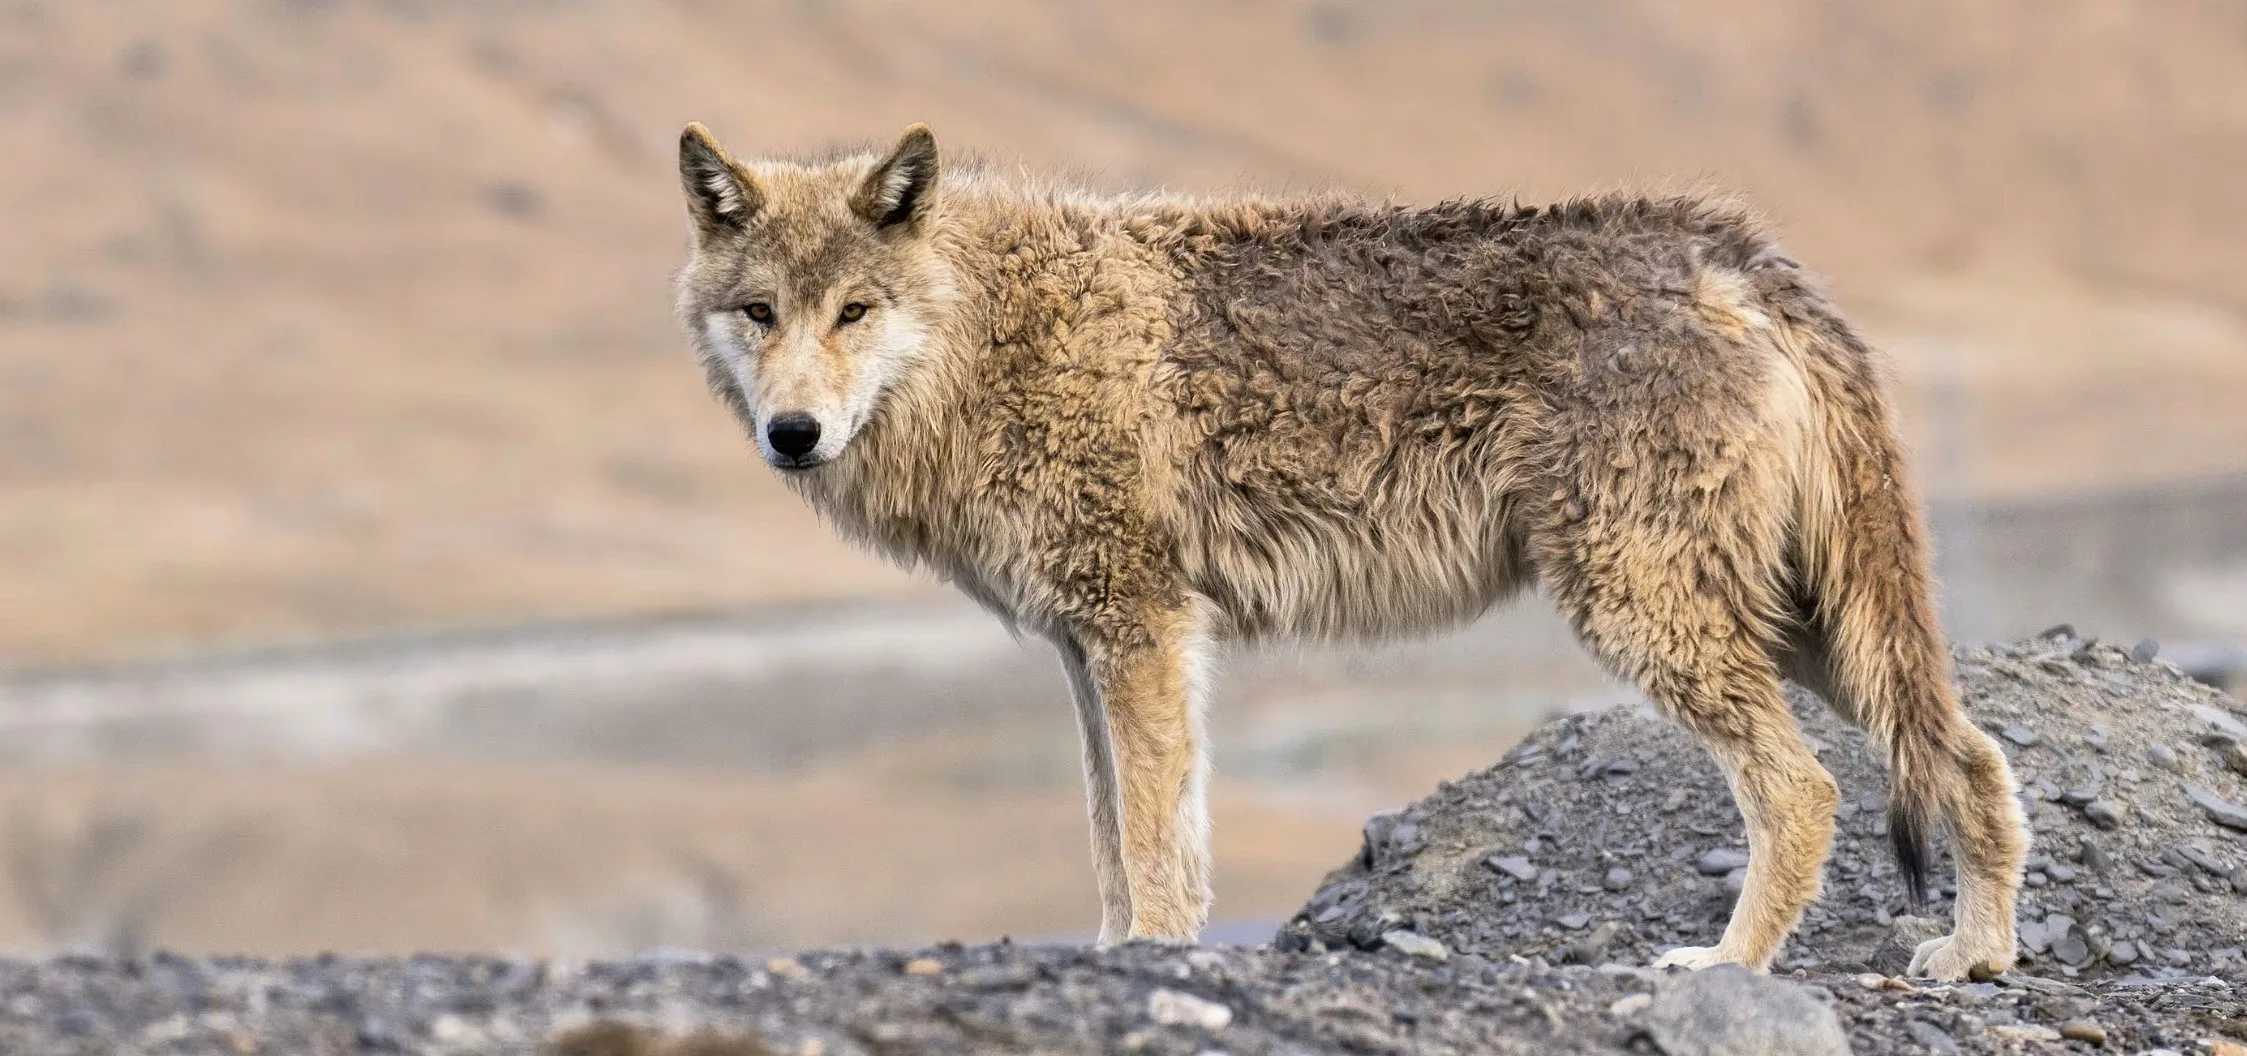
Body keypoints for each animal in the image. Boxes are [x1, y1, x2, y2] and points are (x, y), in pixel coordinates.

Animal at [670, 122, 2028, 979]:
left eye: (856, 312)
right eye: (760, 314)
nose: (794, 434)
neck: (988, 334)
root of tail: (1727, 246)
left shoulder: (1142, 627)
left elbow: (1154, 837)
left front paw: (1153, 959)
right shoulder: (1087, 645)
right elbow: (1116, 831)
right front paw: (1118, 957)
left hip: (1657, 615)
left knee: (1805, 792)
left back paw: (1727, 970)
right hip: (1798, 626)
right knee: (1972, 755)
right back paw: (1975, 957)